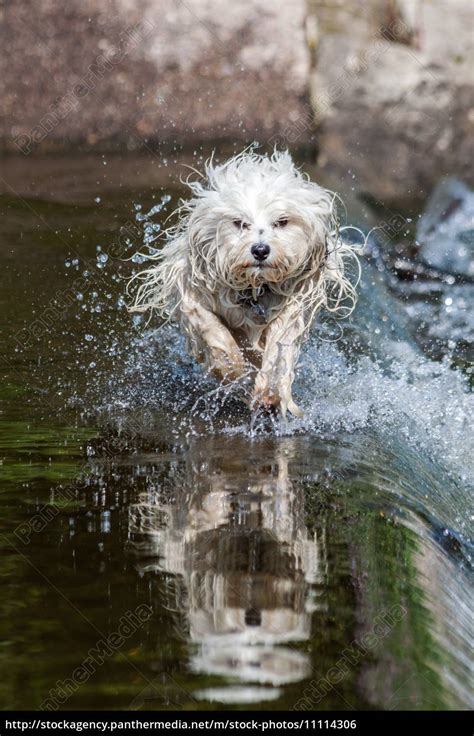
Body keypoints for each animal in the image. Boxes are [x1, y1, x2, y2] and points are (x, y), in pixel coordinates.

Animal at [128, 150, 358, 416]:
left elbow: (279, 349)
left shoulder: (292, 305)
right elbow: (213, 330)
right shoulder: (193, 292)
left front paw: (269, 390)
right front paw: (233, 369)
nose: (260, 250)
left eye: (281, 222)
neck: (254, 288)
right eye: (239, 223)